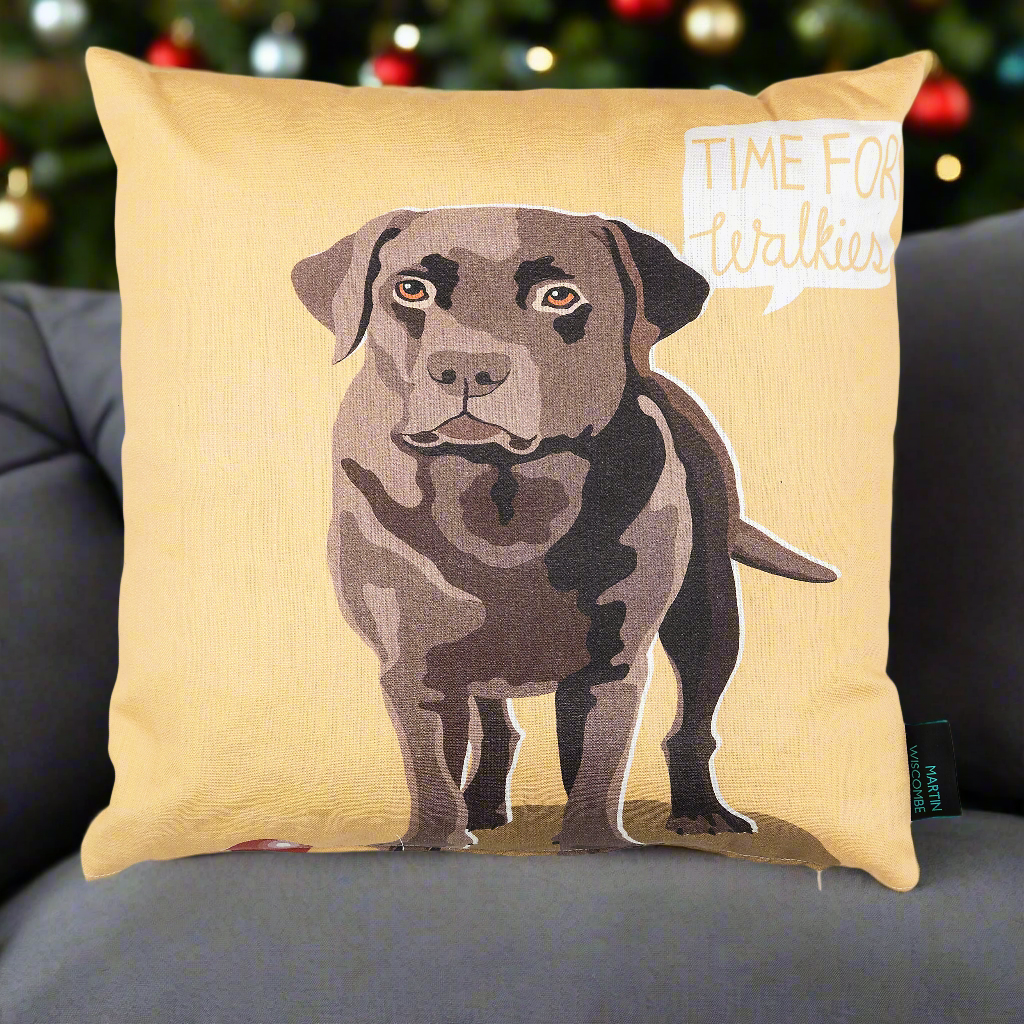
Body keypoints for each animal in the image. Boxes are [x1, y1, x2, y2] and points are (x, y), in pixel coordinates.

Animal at [292, 203, 835, 851]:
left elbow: (596, 766)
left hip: (707, 610)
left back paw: (703, 812)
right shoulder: (416, 673)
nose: (467, 368)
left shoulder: (610, 667)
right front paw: (434, 840)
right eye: (411, 288)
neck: (501, 502)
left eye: (559, 296)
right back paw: (481, 807)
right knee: (497, 728)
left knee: (694, 722)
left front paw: (592, 842)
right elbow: (432, 773)